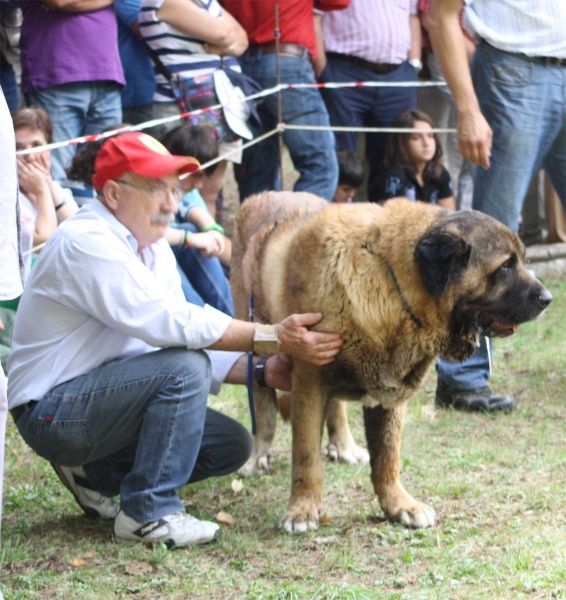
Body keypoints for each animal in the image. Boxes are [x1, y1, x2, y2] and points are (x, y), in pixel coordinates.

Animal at [232, 190, 556, 532]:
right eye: (506, 266)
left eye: (521, 260)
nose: (548, 299)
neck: (391, 285)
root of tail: (259, 197)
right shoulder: (309, 382)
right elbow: (306, 457)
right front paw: (301, 511)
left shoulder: (389, 392)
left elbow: (387, 458)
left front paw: (400, 505)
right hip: (254, 334)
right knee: (263, 403)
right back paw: (258, 455)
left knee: (336, 408)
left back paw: (344, 446)